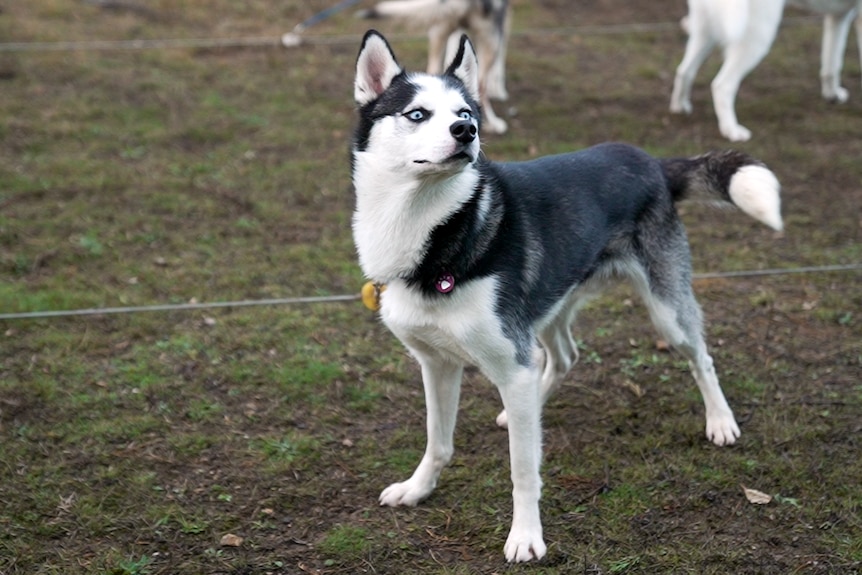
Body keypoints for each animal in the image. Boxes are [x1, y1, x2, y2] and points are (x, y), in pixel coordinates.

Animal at [676, 0, 862, 141]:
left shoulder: (839, 16)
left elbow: (832, 64)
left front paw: (833, 95)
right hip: (757, 37)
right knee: (722, 85)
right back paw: (731, 130)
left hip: (705, 33)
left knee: (684, 71)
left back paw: (680, 107)